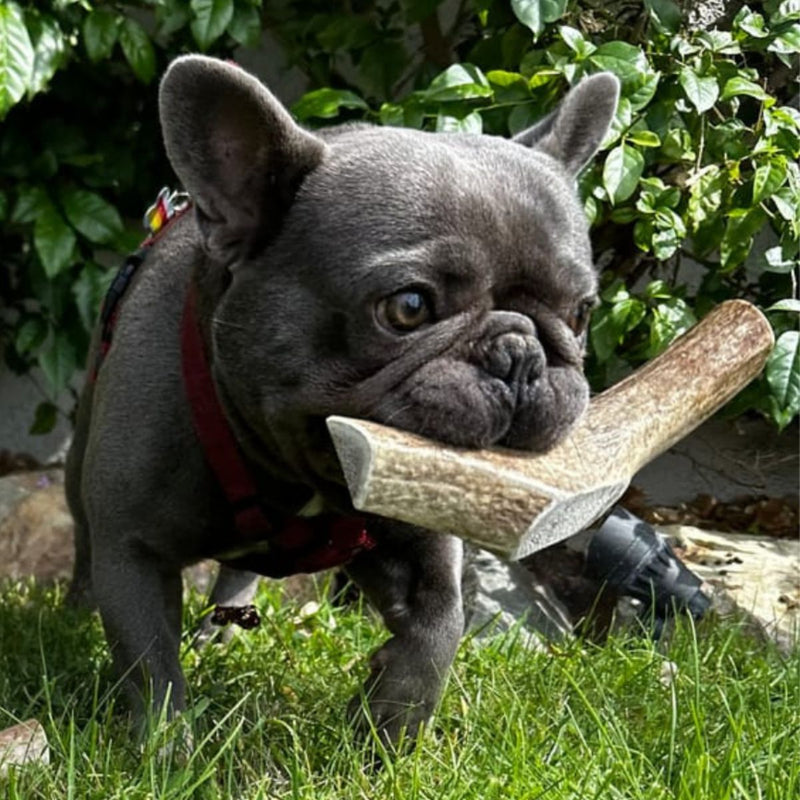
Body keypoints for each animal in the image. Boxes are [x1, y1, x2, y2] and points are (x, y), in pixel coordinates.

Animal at [65, 54, 620, 744]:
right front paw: (165, 752)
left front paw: (387, 730)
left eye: (581, 314)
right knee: (84, 540)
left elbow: (440, 626)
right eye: (408, 307)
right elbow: (151, 665)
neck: (292, 477)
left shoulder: (418, 538)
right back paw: (74, 613)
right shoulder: (133, 549)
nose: (520, 354)